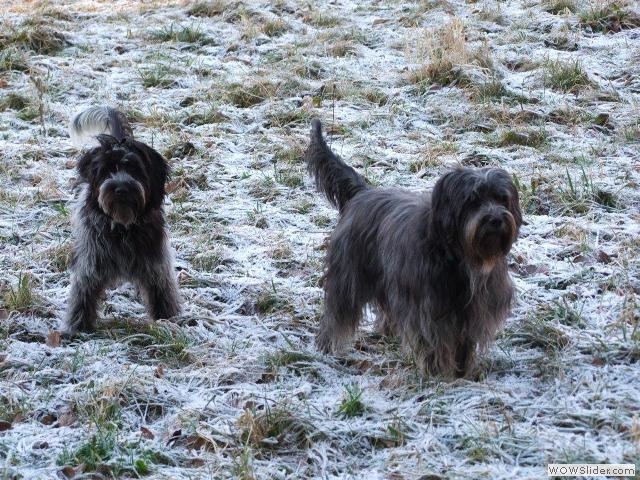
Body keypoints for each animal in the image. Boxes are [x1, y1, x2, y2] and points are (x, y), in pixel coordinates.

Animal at [63, 107, 180, 336]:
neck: (123, 227)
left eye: (136, 169)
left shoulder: (156, 264)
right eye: (107, 170)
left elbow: (163, 293)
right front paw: (78, 328)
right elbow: (83, 296)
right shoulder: (90, 264)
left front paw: (169, 322)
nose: (122, 188)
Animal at [304, 118, 520, 376]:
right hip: (349, 275)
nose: (496, 219)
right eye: (473, 200)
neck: (460, 256)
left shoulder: (473, 309)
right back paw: (326, 348)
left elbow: (464, 343)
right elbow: (433, 341)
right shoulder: (429, 308)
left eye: (501, 199)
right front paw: (438, 374)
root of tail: (364, 193)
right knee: (337, 314)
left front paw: (462, 372)